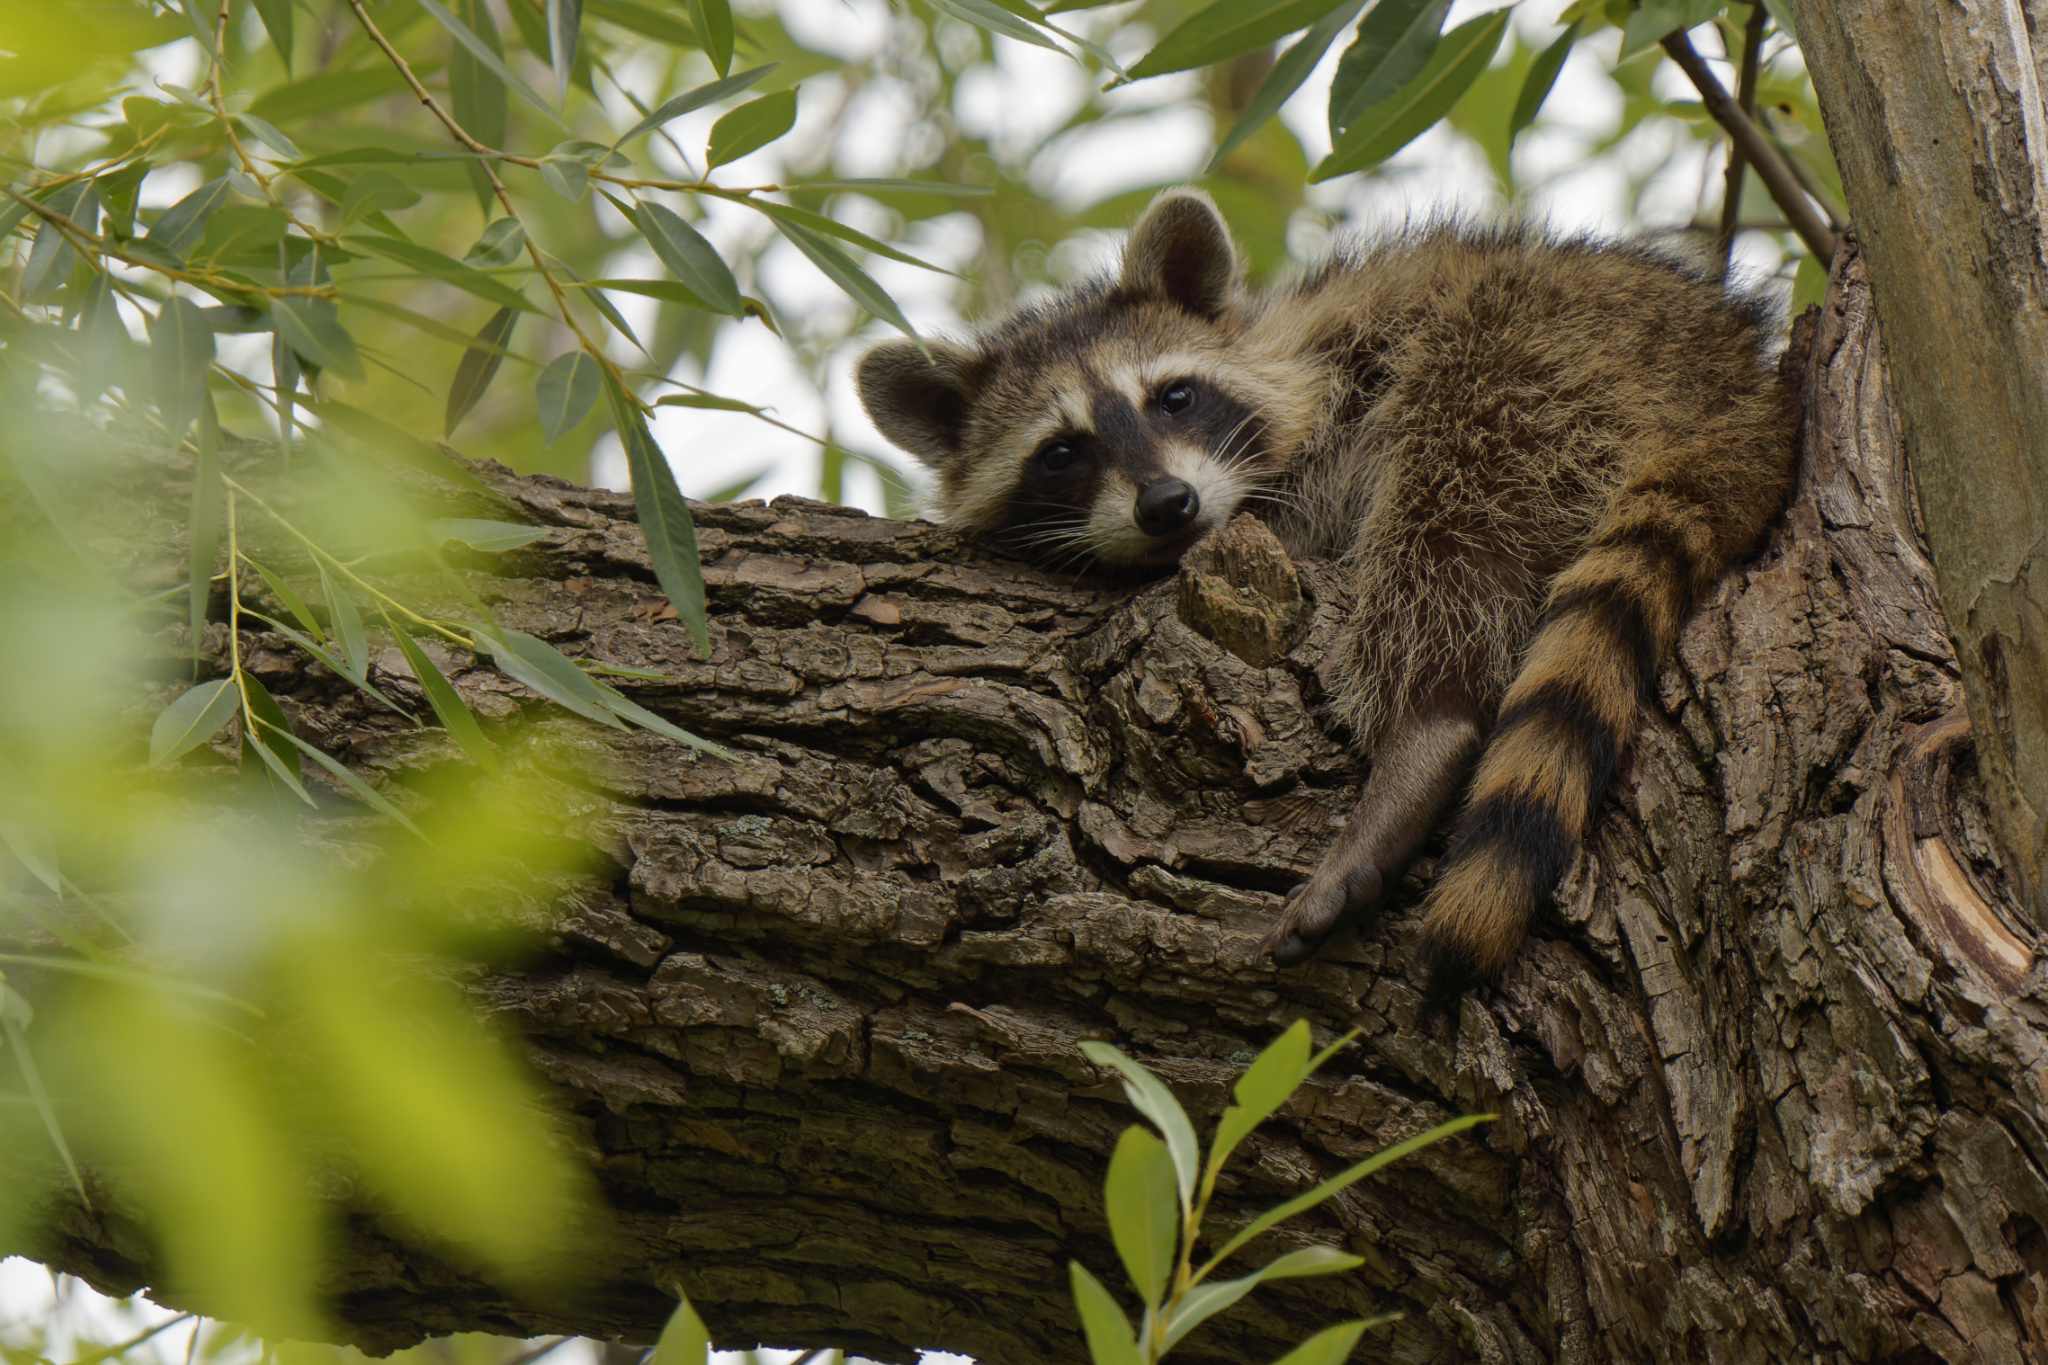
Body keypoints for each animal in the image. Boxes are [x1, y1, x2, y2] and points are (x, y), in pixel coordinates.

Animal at [855, 189, 1798, 982]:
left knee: (1450, 503)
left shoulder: (1350, 383)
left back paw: (1427, 722)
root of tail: (1747, 388)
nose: (1168, 504)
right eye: (1059, 453)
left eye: (1173, 397)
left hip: (1542, 356)